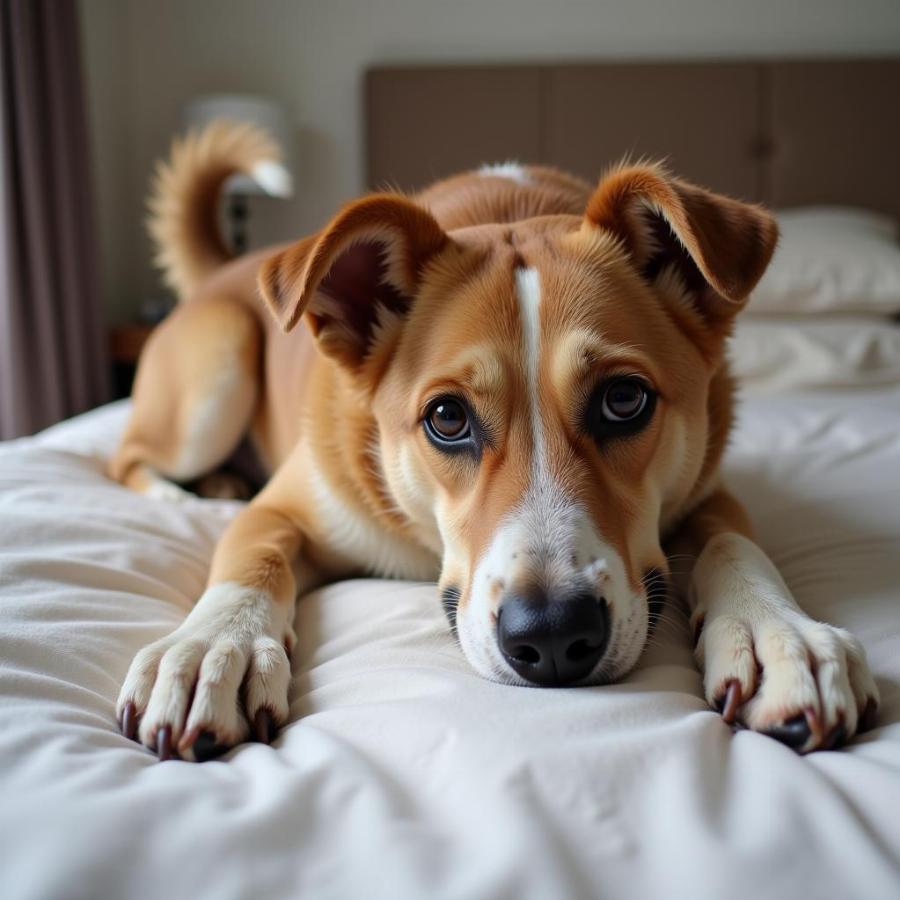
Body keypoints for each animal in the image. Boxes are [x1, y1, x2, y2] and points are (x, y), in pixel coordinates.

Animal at [110, 123, 880, 764]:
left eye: (624, 400)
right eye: (447, 418)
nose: (553, 635)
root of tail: (225, 271)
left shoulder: (708, 488)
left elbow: (734, 542)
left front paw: (780, 634)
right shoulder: (284, 508)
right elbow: (255, 558)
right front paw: (212, 648)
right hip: (216, 372)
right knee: (126, 458)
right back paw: (198, 498)